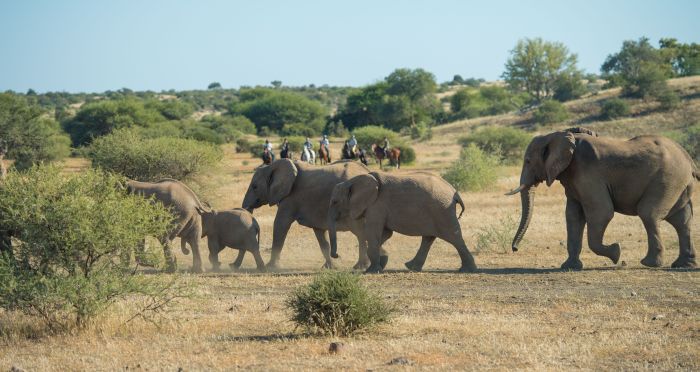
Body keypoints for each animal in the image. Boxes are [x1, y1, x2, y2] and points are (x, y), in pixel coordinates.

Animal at [243, 158, 380, 268]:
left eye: (255, 187)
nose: (337, 255)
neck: (271, 166)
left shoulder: (290, 198)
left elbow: (280, 224)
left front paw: (271, 267)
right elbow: (320, 235)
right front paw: (329, 267)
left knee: (360, 232)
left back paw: (361, 266)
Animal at [326, 171, 476, 274]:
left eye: (335, 202)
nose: (336, 255)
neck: (353, 181)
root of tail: (455, 192)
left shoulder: (376, 206)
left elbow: (373, 232)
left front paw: (371, 271)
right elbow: (385, 234)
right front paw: (381, 263)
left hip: (442, 210)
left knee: (454, 238)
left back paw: (467, 270)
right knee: (429, 238)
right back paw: (412, 267)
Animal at [506, 126, 696, 268]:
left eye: (528, 161)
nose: (514, 249)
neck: (557, 135)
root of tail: (688, 158)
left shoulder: (588, 173)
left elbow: (601, 213)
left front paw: (616, 252)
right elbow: (573, 216)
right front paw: (569, 267)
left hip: (668, 179)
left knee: (649, 214)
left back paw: (650, 263)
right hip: (678, 184)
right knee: (682, 220)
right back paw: (683, 265)